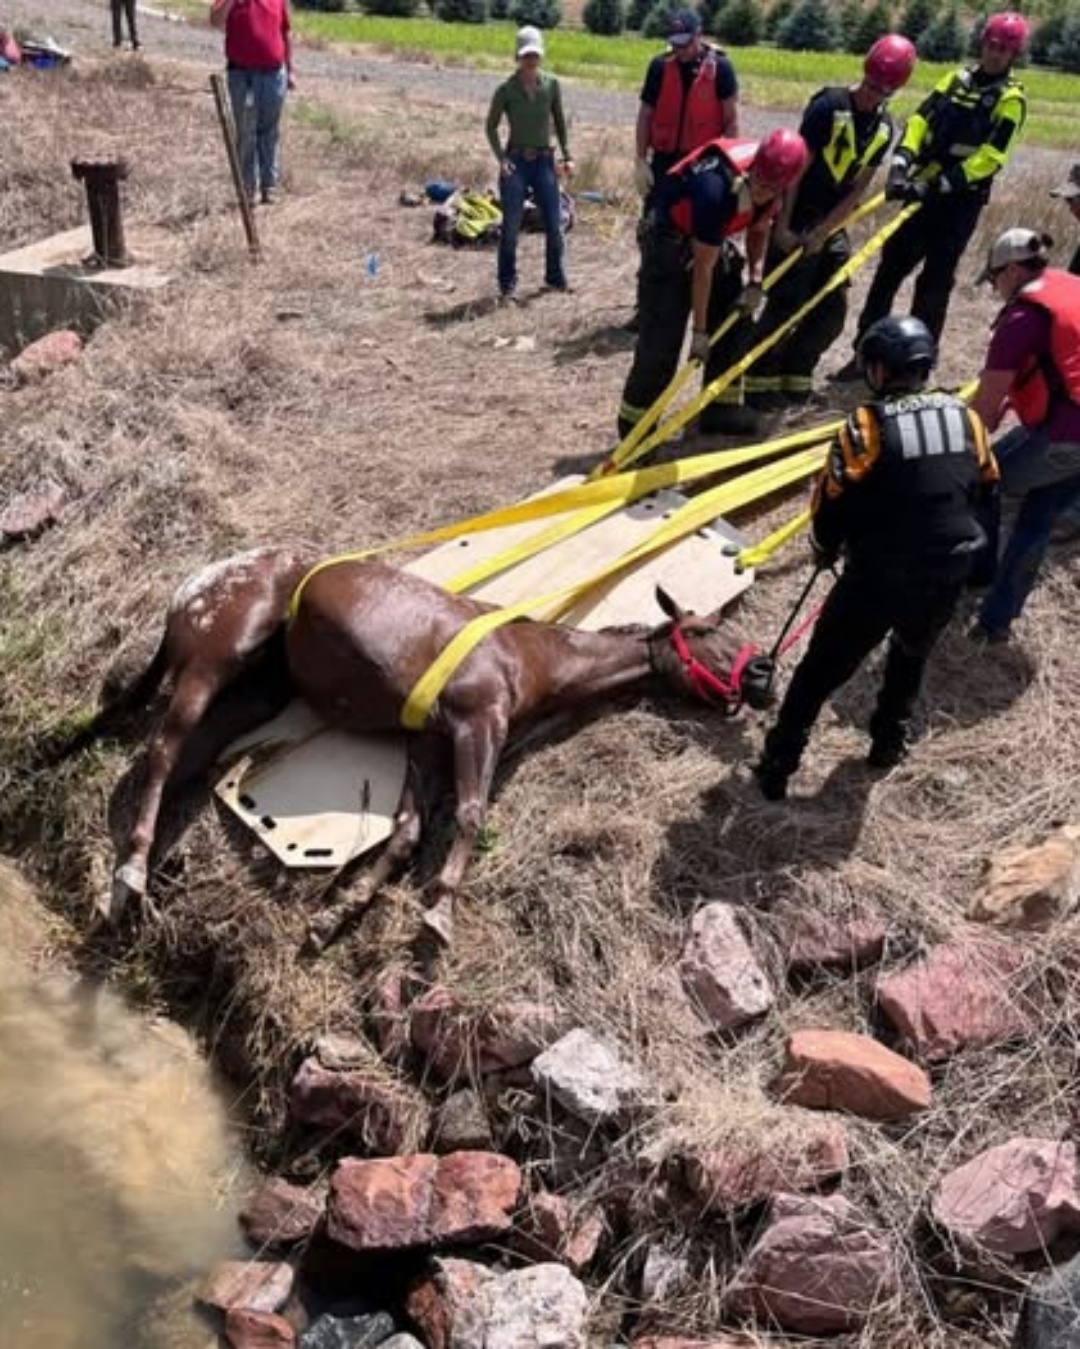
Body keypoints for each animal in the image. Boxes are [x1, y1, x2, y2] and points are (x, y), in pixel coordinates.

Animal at [64, 546, 767, 948]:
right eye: (711, 631)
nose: (763, 676)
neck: (527, 654)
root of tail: (197, 584)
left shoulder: (427, 741)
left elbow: (405, 832)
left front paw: (339, 914)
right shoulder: (476, 722)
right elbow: (470, 816)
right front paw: (440, 911)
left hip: (256, 691)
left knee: (184, 761)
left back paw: (149, 865)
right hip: (214, 661)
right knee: (163, 748)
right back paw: (130, 871)